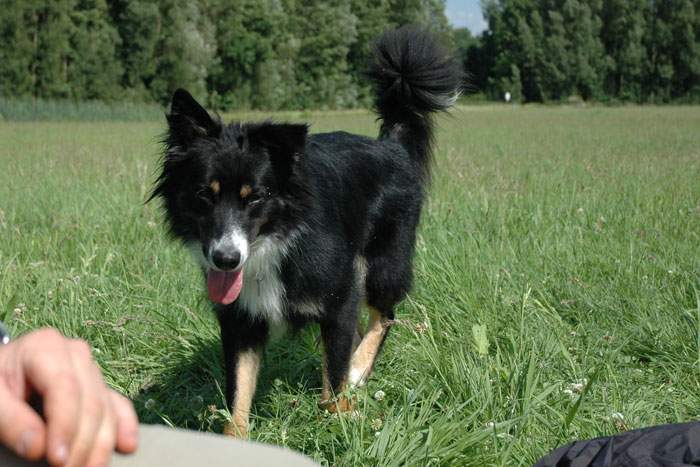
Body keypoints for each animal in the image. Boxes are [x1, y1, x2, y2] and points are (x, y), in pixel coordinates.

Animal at [150, 26, 462, 438]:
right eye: (204, 194)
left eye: (256, 196)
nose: (226, 259)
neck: (275, 242)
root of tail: (391, 146)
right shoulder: (241, 318)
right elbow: (238, 392)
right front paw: (237, 438)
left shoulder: (339, 297)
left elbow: (333, 377)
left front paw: (339, 420)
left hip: (385, 261)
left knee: (385, 314)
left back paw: (359, 368)